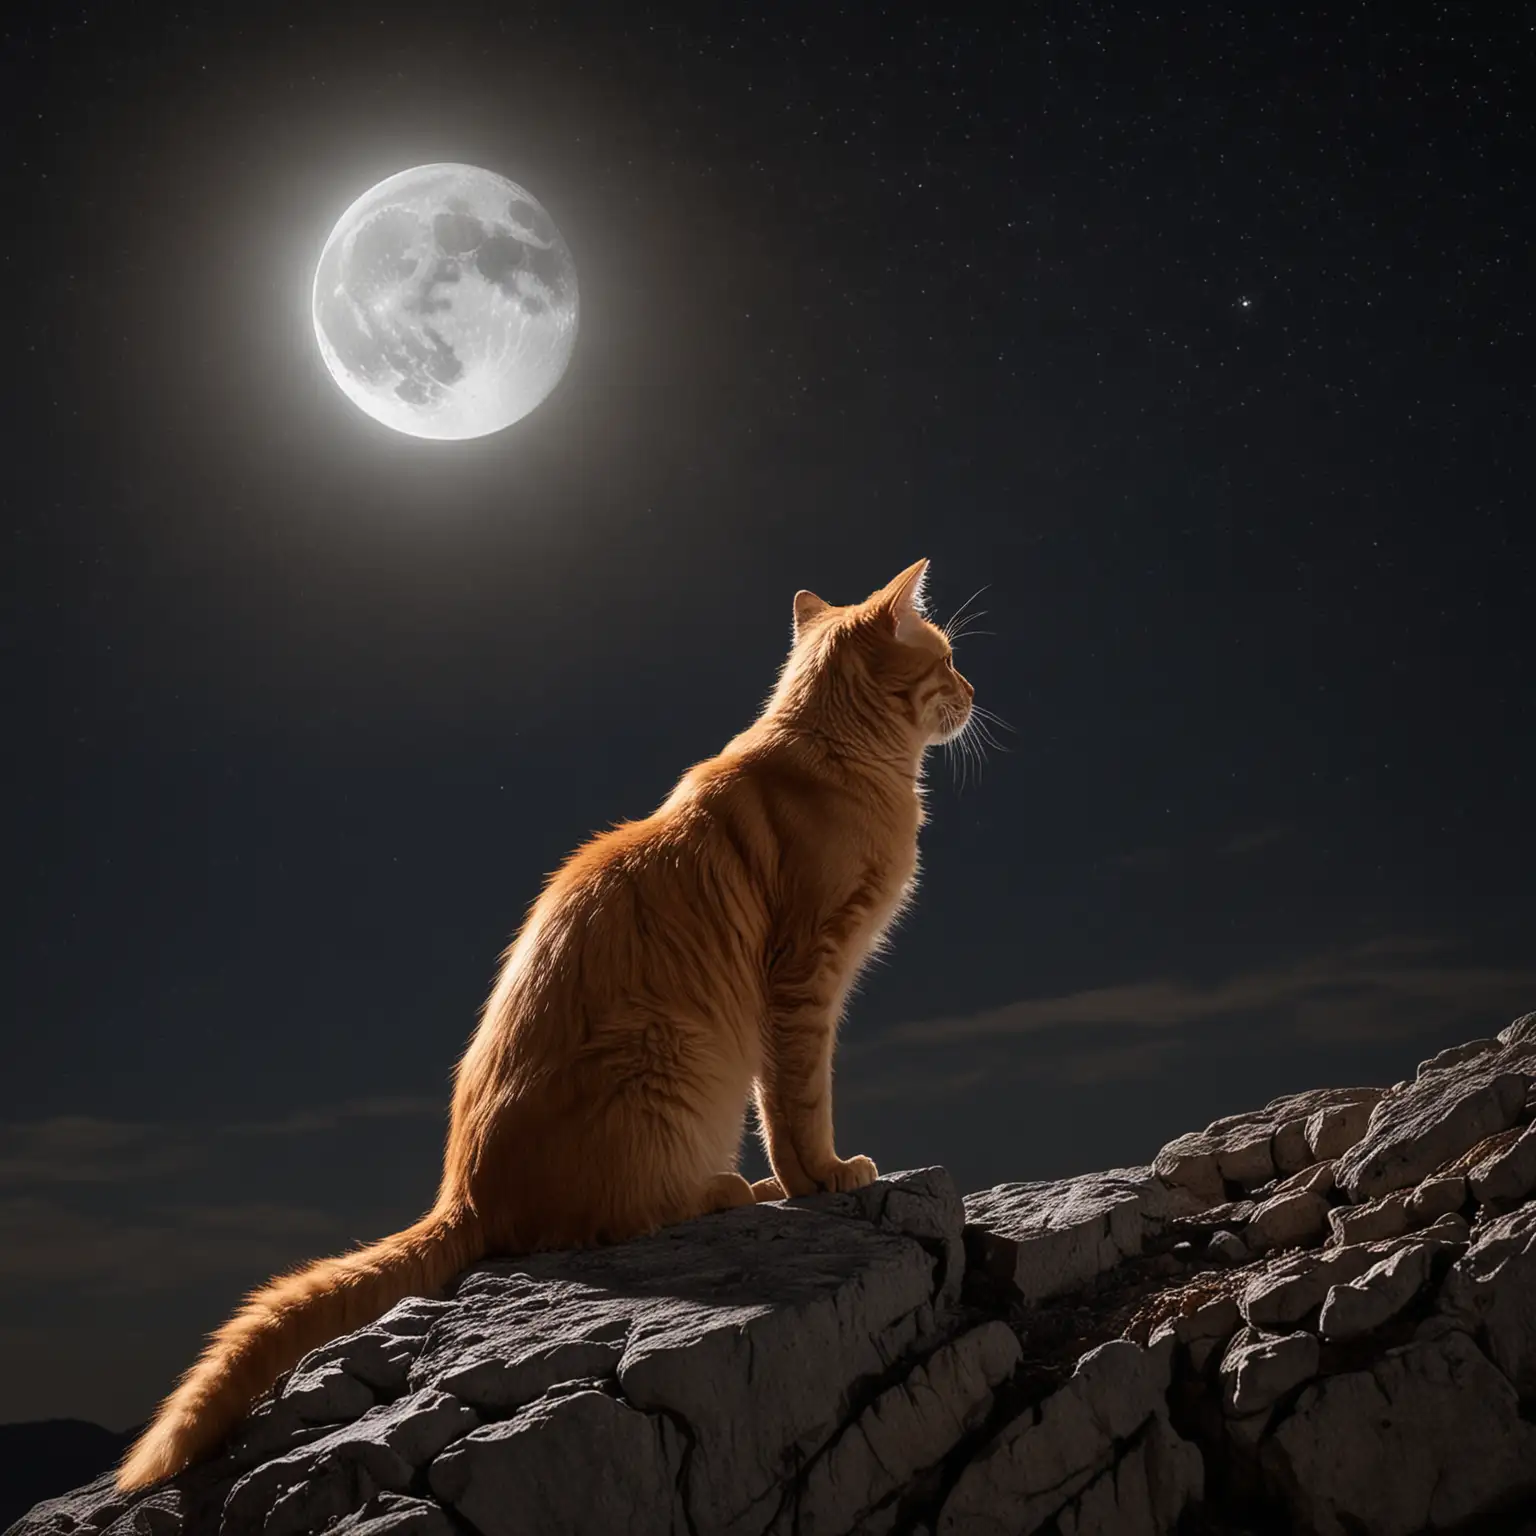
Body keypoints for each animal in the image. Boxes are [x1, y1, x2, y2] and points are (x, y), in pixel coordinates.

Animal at [122, 562, 970, 1486]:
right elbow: (797, 1103)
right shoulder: (804, 977)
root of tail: (463, 1195)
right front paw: (819, 1178)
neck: (843, 756)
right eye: (947, 658)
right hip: (666, 1061)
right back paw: (728, 1189)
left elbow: (780, 1099)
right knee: (611, 1219)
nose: (972, 690)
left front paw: (806, 1180)